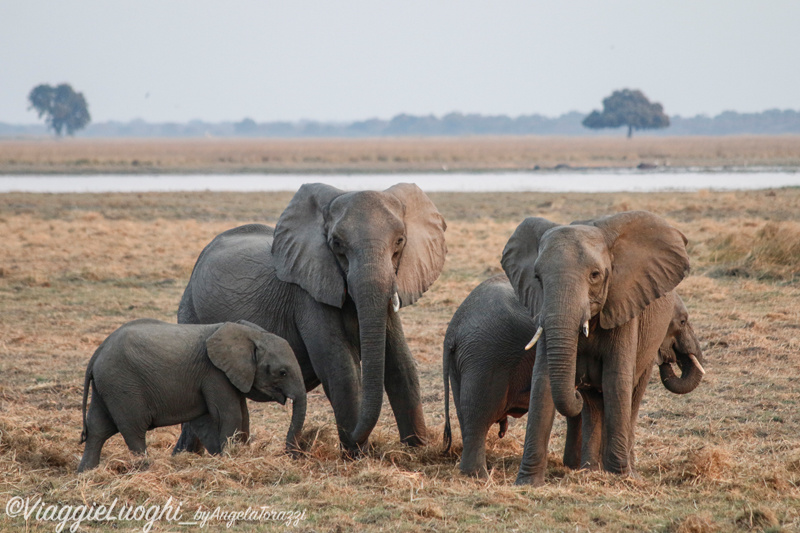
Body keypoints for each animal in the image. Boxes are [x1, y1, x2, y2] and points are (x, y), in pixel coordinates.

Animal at [76, 318, 306, 472]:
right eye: (282, 372)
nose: (295, 457)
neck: (251, 334)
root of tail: (97, 352)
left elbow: (241, 415)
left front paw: (233, 456)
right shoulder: (214, 373)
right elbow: (229, 415)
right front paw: (230, 459)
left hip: (107, 387)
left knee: (97, 429)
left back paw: (86, 473)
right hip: (122, 386)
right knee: (133, 430)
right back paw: (145, 468)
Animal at [175, 183, 446, 454]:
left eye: (400, 241)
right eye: (337, 243)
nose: (307, 441)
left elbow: (401, 364)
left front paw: (417, 451)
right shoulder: (308, 294)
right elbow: (339, 368)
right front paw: (357, 455)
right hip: (190, 311)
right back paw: (186, 455)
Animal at [440, 274, 704, 474]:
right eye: (682, 321)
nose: (671, 357)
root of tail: (453, 330)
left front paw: (577, 468)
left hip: (465, 363)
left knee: (468, 415)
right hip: (485, 357)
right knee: (479, 415)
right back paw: (479, 476)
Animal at [506, 210, 700, 484]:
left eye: (595, 275)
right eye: (537, 277)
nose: (575, 389)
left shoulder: (624, 304)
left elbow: (616, 380)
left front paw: (621, 478)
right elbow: (542, 381)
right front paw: (527, 483)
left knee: (630, 396)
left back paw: (626, 470)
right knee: (594, 405)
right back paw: (590, 470)